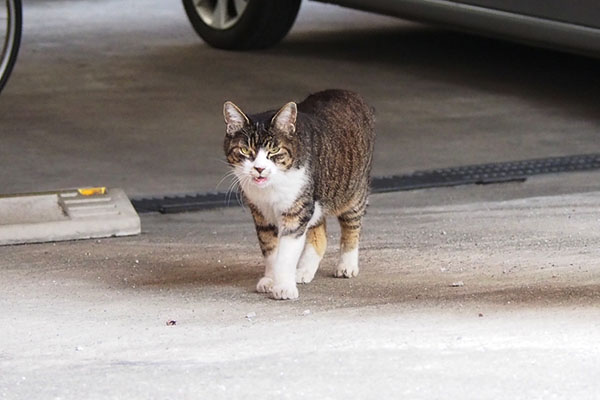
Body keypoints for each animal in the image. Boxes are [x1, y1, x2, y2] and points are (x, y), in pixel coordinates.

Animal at [225, 89, 376, 298]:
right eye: (245, 150)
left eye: (274, 149)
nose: (259, 168)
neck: (271, 188)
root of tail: (349, 92)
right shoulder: (261, 214)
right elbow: (270, 248)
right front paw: (271, 279)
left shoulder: (296, 212)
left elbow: (286, 254)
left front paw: (283, 287)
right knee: (319, 233)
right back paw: (304, 270)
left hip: (353, 192)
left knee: (352, 226)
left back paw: (346, 265)